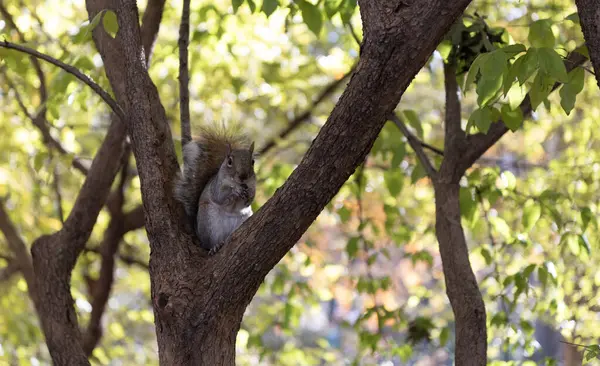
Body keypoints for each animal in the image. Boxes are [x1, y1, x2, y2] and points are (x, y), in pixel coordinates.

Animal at [175, 124, 256, 256]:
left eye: (253, 162)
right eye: (229, 161)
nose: (243, 176)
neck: (237, 183)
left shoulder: (253, 185)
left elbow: (249, 200)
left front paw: (248, 195)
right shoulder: (217, 186)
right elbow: (220, 196)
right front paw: (235, 191)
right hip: (208, 223)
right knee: (209, 244)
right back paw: (215, 246)